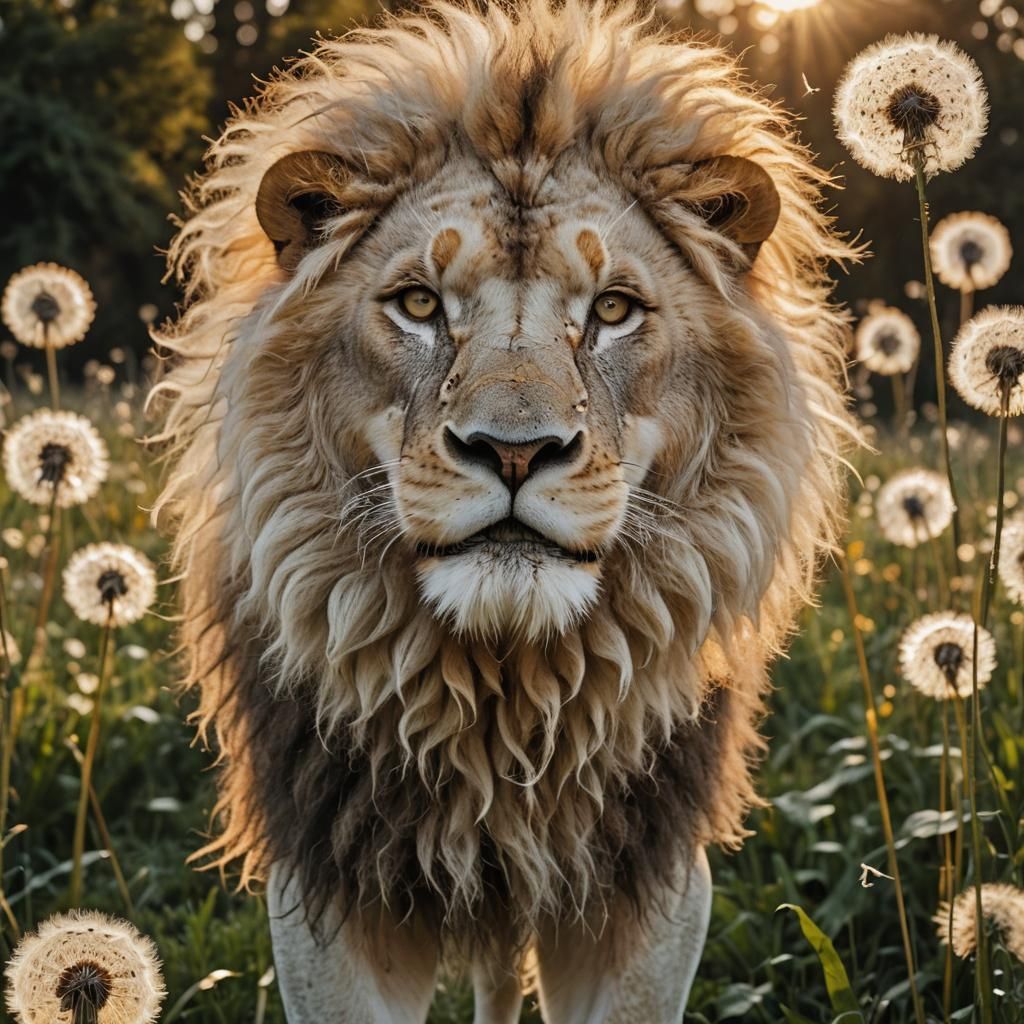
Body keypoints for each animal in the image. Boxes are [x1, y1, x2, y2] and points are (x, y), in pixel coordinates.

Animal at [151, 1, 855, 1020]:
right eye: (417, 303)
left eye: (613, 310)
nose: (514, 451)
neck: (507, 698)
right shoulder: (326, 877)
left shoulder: (650, 881)